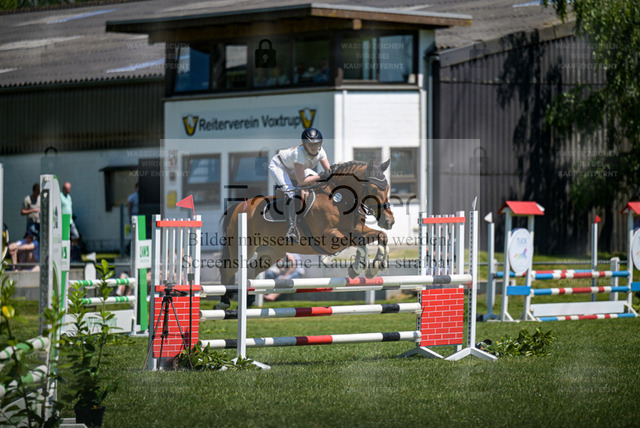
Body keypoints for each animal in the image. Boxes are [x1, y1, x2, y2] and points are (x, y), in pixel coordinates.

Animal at [218, 160, 395, 288]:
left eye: (387, 187)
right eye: (373, 189)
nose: (389, 221)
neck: (340, 200)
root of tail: (239, 207)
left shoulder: (358, 230)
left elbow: (381, 236)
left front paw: (376, 266)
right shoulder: (329, 239)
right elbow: (360, 244)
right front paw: (359, 267)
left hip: (271, 253)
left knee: (251, 272)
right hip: (242, 249)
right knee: (227, 272)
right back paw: (225, 304)